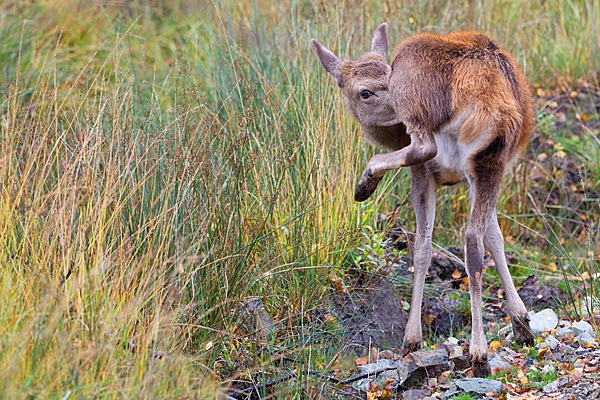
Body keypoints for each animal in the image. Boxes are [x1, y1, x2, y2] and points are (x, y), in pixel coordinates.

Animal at [312, 24, 532, 376]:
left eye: (383, 81)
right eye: (366, 91)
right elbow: (495, 236)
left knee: (425, 151)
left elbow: (423, 247)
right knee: (476, 237)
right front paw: (521, 321)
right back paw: (484, 347)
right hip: (492, 156)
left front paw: (411, 338)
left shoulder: (424, 173)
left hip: (425, 119)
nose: (393, 111)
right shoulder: (475, 177)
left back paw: (477, 353)